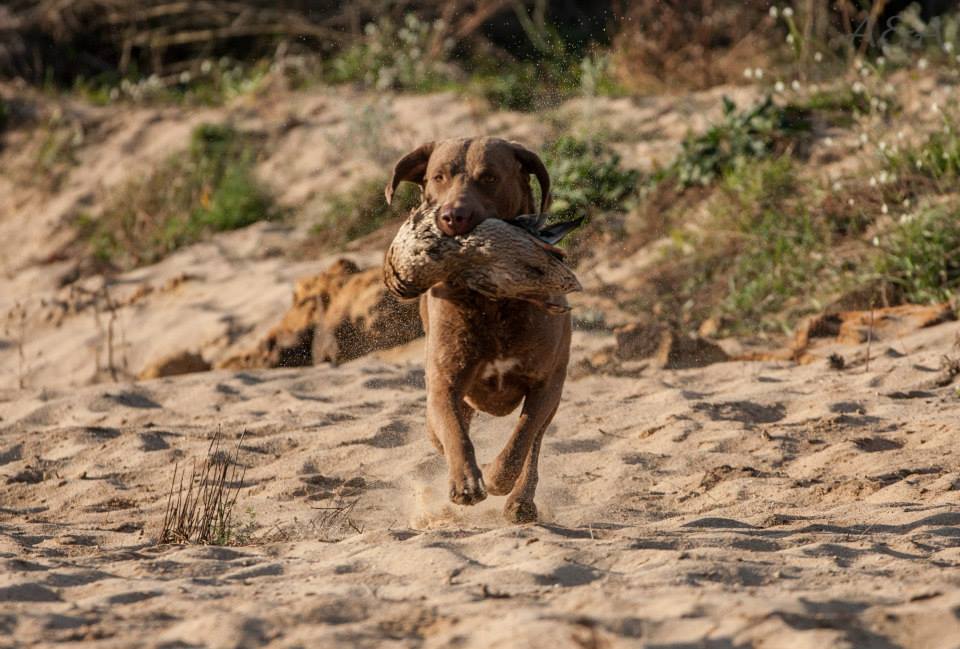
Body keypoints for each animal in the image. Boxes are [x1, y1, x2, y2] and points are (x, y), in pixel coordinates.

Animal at [386, 137, 572, 520]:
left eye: (489, 178)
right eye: (438, 176)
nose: (452, 216)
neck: (491, 302)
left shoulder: (547, 384)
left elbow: (522, 438)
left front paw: (497, 476)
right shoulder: (445, 381)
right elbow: (454, 431)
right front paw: (466, 481)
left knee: (535, 443)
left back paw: (520, 501)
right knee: (443, 432)